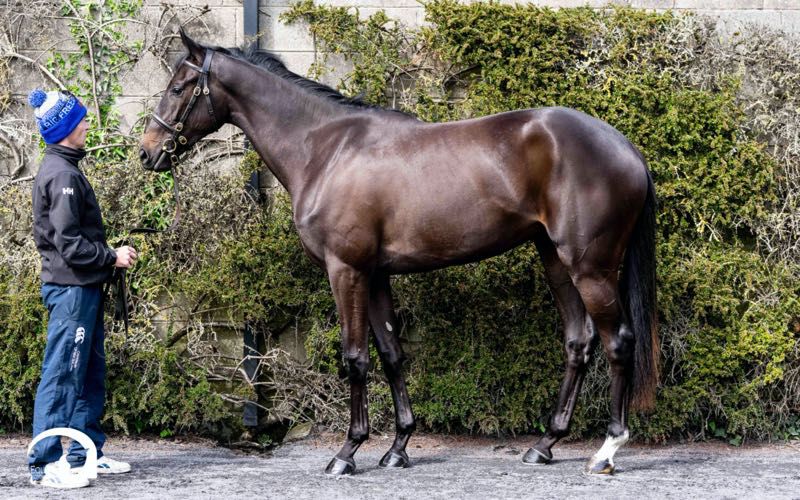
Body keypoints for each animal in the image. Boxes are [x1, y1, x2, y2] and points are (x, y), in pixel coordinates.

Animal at [139, 29, 659, 476]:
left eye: (179, 86)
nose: (148, 152)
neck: (326, 149)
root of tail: (625, 147)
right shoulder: (376, 275)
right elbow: (391, 354)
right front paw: (398, 447)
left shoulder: (346, 270)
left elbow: (355, 356)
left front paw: (347, 453)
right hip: (555, 260)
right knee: (578, 342)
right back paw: (545, 444)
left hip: (590, 268)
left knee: (617, 341)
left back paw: (606, 450)